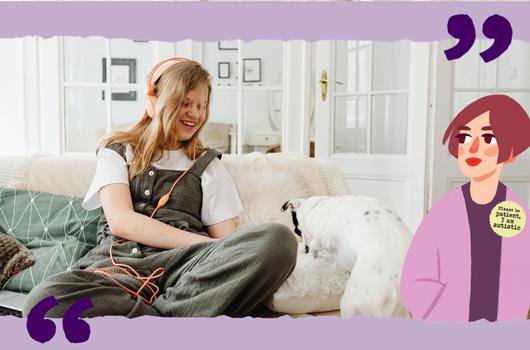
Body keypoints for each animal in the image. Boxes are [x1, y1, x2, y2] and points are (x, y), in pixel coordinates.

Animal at [282, 196, 410, 318]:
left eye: (296, 230)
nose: (302, 247)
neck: (314, 208)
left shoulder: (318, 241)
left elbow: (313, 251)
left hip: (349, 303)